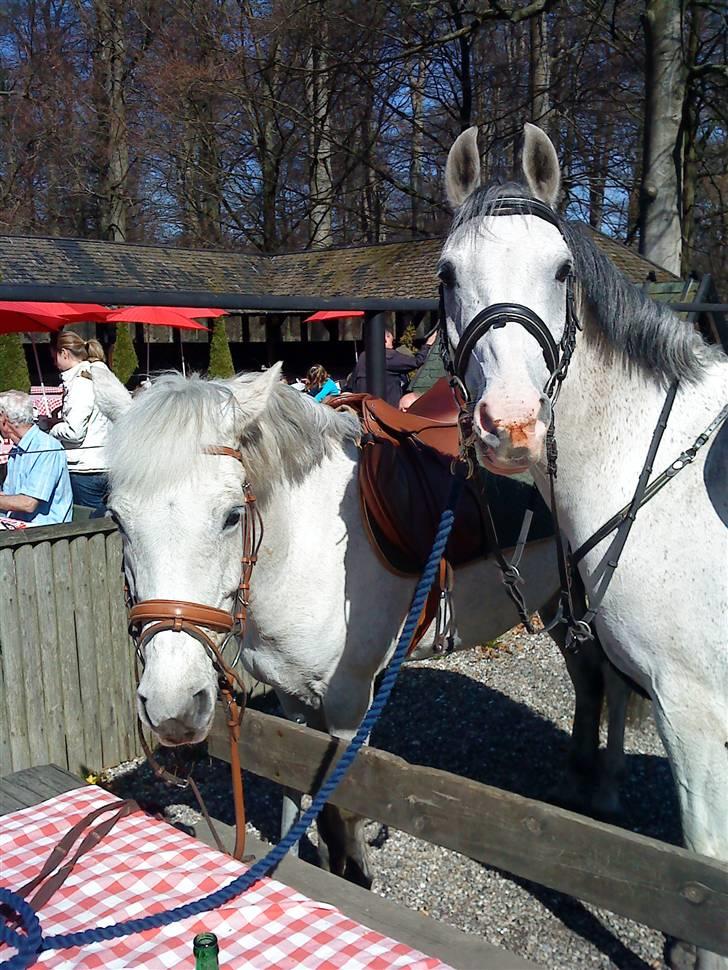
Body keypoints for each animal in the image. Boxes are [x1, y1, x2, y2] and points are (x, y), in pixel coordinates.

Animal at [94, 366, 632, 880]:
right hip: (559, 604)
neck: (303, 546)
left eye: (230, 515)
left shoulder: (350, 707)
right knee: (587, 680)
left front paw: (353, 871)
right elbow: (292, 797)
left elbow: (343, 812)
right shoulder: (293, 700)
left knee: (617, 684)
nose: (173, 708)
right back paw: (574, 782)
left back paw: (608, 793)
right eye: (118, 520)